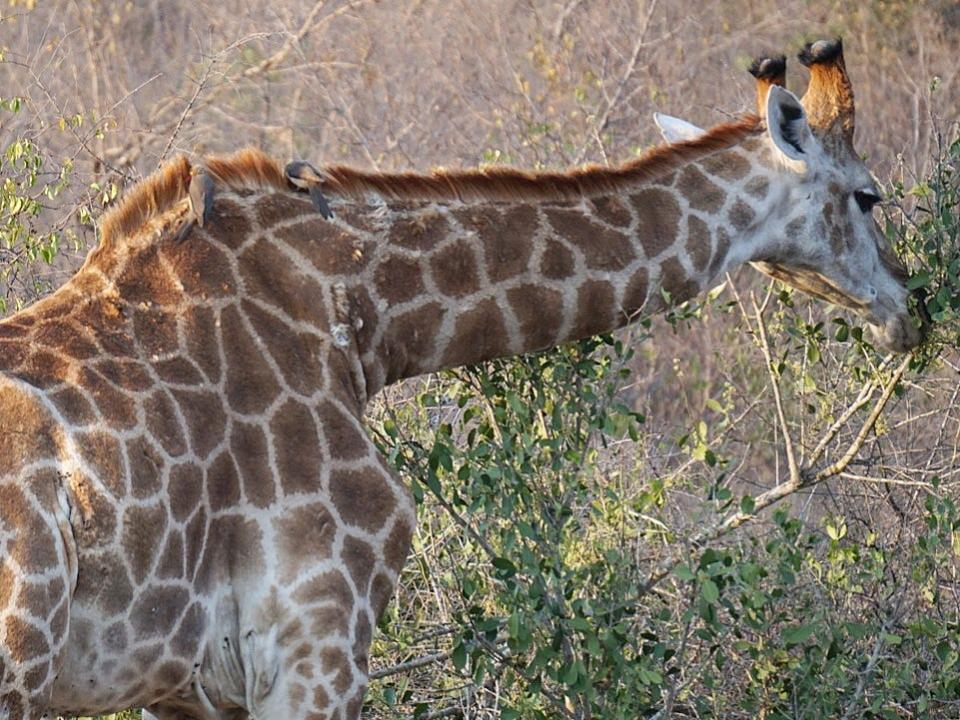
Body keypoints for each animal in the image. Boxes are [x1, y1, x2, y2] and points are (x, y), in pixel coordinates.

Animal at [0, 38, 924, 720]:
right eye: (869, 196)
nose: (909, 307)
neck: (360, 313)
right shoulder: (317, 638)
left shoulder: (190, 685)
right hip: (22, 656)